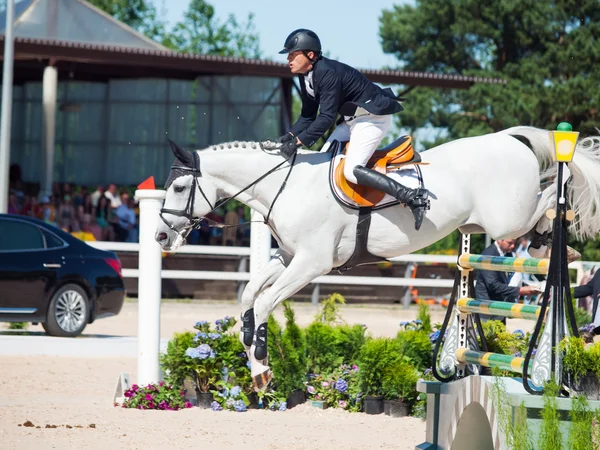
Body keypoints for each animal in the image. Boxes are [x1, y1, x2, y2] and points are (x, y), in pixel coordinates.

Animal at [154, 126, 600, 390]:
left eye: (178, 187)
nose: (160, 236)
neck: (285, 185)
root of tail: (509, 137)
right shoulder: (289, 257)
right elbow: (248, 297)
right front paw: (252, 358)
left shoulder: (311, 264)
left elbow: (263, 303)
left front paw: (262, 369)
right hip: (488, 224)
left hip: (507, 218)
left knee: (550, 192)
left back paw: (559, 230)